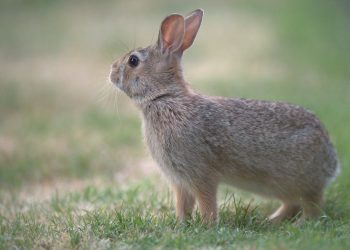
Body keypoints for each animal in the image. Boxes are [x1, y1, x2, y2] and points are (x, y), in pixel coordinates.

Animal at [109, 9, 340, 224]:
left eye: (133, 61)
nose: (111, 72)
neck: (164, 98)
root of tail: (331, 160)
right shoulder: (180, 181)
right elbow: (183, 205)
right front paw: (181, 224)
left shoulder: (200, 174)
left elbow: (207, 202)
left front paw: (207, 226)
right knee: (293, 203)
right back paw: (272, 220)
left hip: (299, 179)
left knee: (313, 204)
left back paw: (299, 224)